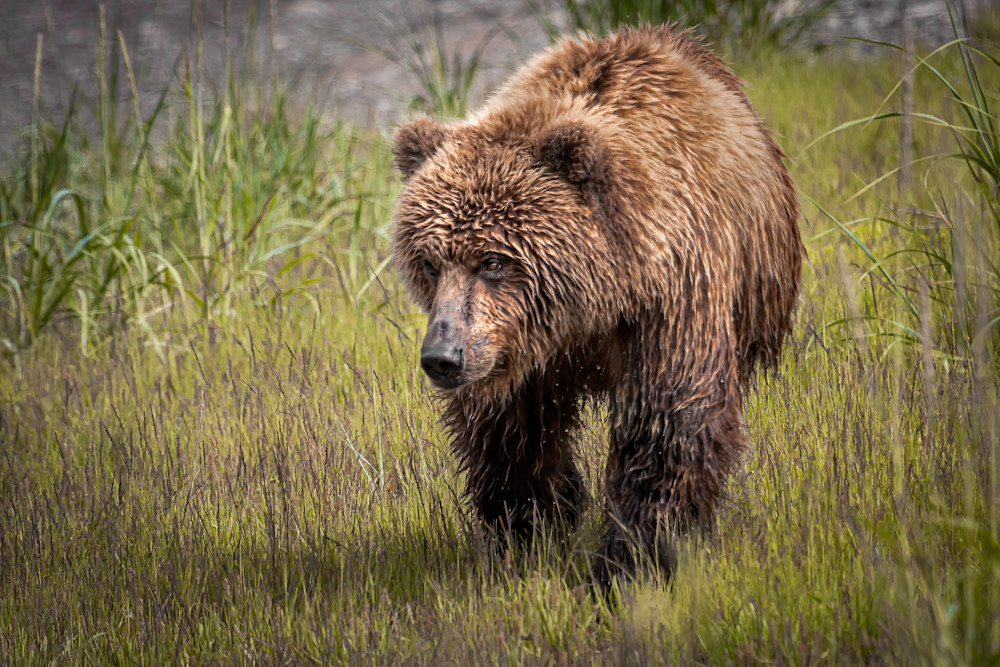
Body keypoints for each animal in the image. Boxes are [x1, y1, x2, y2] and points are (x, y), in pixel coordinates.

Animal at [390, 24, 804, 588]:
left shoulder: (672, 299)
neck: (594, 301)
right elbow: (510, 434)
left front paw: (631, 560)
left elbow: (668, 422)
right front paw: (527, 532)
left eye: (492, 260)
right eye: (430, 262)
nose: (442, 357)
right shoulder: (517, 350)